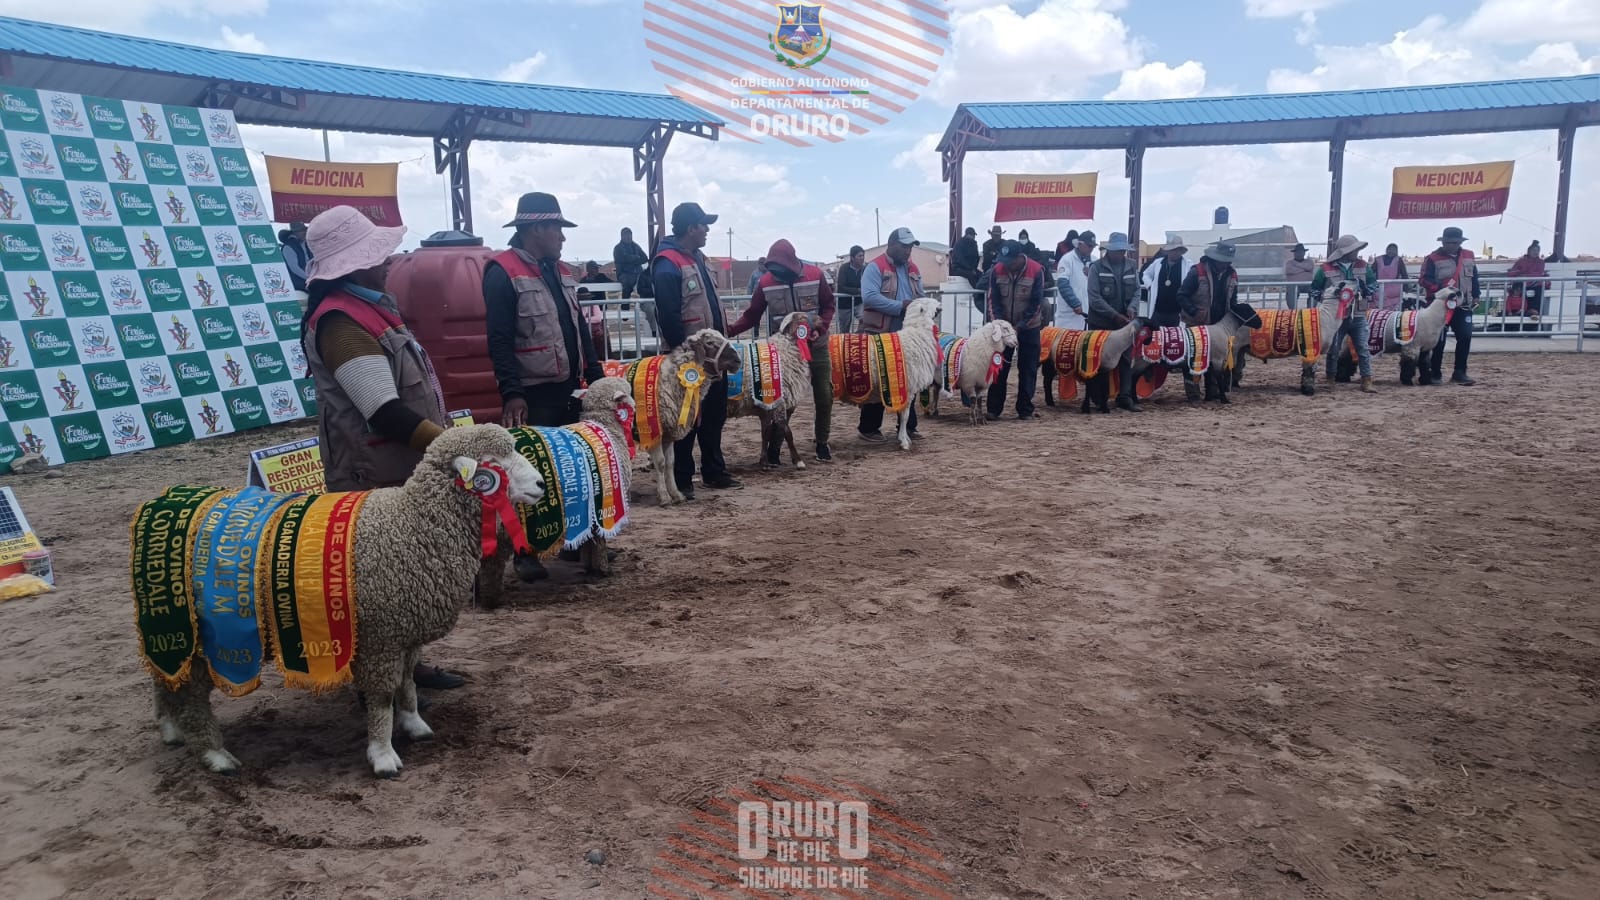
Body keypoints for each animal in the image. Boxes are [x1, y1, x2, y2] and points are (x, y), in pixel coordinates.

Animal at [136, 422, 544, 775]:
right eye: (494, 462)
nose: (541, 483)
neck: (415, 525)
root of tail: (160, 504)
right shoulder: (381, 638)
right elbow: (382, 696)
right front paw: (383, 754)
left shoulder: (405, 634)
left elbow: (408, 684)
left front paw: (414, 724)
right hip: (196, 635)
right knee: (190, 696)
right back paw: (214, 754)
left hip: (174, 629)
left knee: (163, 679)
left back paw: (170, 730)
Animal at [476, 374, 640, 605]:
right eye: (626, 390)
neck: (606, 426)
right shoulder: (602, 500)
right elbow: (598, 540)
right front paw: (602, 569)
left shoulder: (588, 506)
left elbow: (589, 539)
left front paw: (589, 567)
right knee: (492, 560)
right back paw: (492, 597)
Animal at [832, 297, 940, 448]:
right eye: (928, 302)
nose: (940, 307)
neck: (916, 334)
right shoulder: (907, 388)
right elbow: (905, 416)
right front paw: (904, 441)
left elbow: (903, 416)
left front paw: (904, 437)